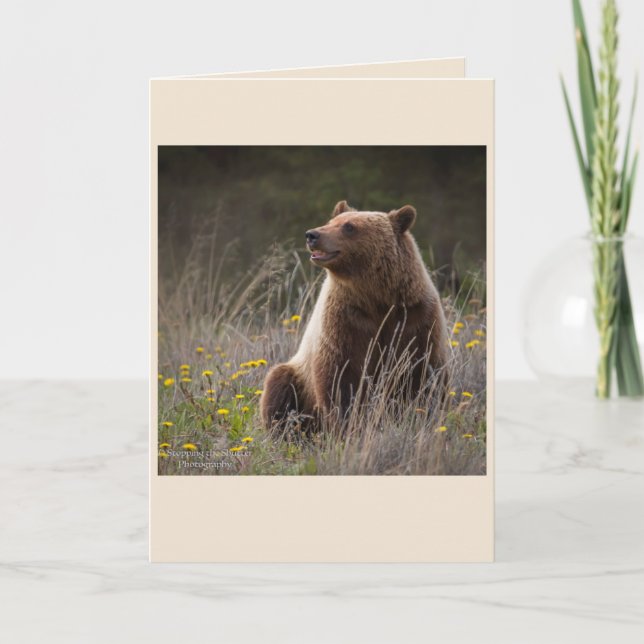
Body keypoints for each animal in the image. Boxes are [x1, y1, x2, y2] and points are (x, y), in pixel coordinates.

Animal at [260, 200, 449, 429]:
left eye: (349, 226)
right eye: (331, 221)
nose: (312, 235)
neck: (377, 299)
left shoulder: (415, 318)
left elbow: (422, 373)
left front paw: (419, 414)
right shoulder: (345, 321)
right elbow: (341, 378)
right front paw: (349, 423)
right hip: (299, 377)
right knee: (279, 386)